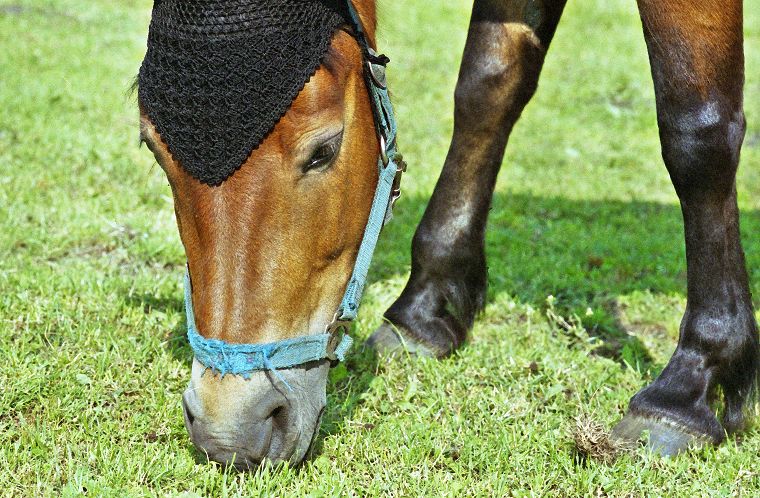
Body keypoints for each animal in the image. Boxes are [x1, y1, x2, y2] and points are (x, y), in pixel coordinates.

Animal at [137, 0, 756, 466]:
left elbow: (696, 129)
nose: (229, 431)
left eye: (323, 150)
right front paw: (426, 310)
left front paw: (690, 385)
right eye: (153, 149)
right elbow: (488, 86)